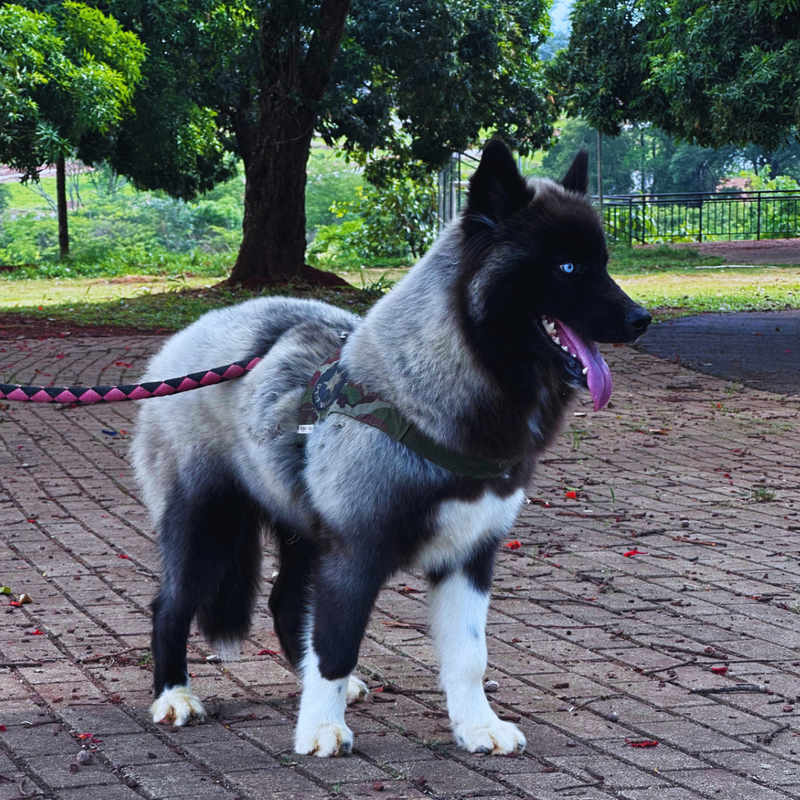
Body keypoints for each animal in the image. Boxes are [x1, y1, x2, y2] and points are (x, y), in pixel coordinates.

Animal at [131, 141, 648, 760]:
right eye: (567, 267)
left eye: (604, 262)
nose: (642, 319)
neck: (429, 392)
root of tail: (181, 346)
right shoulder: (354, 553)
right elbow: (336, 643)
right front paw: (321, 727)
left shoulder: (468, 557)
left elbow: (469, 657)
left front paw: (476, 725)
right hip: (208, 527)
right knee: (170, 606)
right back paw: (174, 695)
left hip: (300, 535)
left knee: (284, 604)